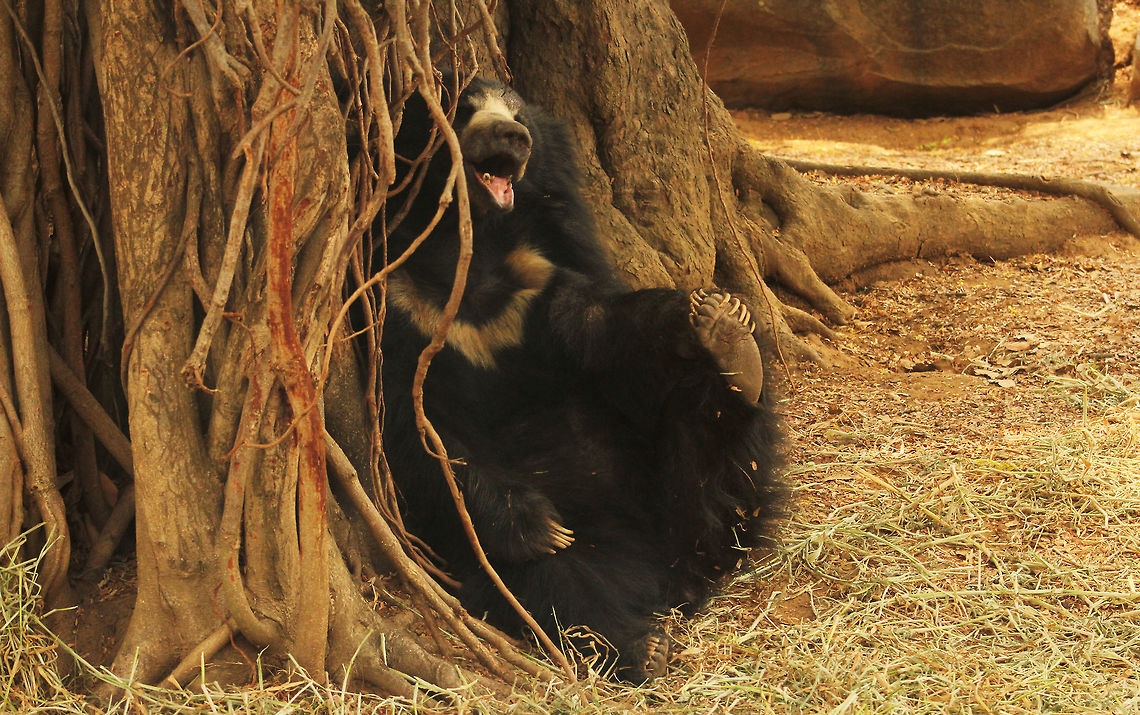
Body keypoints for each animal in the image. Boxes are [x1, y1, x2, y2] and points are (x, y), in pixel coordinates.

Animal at [376, 73, 782, 682]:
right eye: (459, 108)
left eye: (517, 111)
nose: (512, 137)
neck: (472, 250)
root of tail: (669, 570)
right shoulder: (401, 307)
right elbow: (419, 430)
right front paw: (536, 525)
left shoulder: (540, 277)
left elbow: (599, 327)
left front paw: (713, 317)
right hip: (570, 556)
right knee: (553, 585)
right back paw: (641, 644)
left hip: (679, 487)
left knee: (720, 457)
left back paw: (736, 367)